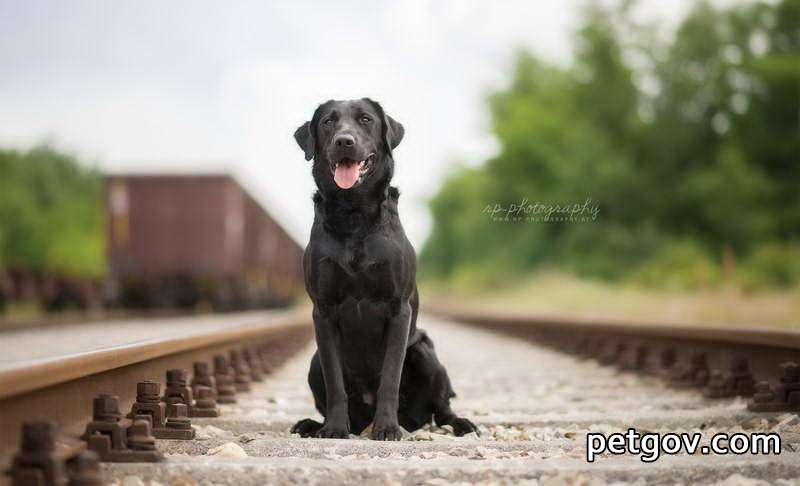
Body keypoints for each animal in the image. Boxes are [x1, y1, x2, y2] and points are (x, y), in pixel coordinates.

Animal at [290, 98, 476, 440]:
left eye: (365, 120)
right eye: (327, 122)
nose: (344, 141)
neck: (353, 213)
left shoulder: (397, 307)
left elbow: (390, 374)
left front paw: (387, 428)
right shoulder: (323, 309)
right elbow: (335, 382)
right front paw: (334, 429)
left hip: (426, 354)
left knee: (442, 407)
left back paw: (457, 424)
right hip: (313, 362)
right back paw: (313, 424)